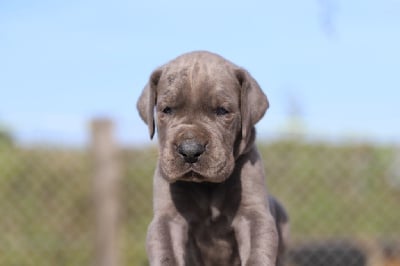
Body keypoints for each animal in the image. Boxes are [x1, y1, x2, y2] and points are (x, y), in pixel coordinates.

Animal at [138, 51, 288, 264]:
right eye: (167, 110)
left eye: (222, 111)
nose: (190, 150)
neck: (207, 186)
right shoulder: (168, 218)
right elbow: (167, 254)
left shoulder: (253, 214)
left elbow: (257, 252)